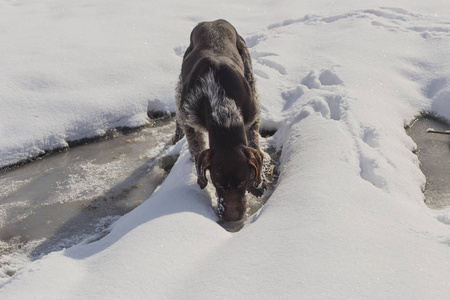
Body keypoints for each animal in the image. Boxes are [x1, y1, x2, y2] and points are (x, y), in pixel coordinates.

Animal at [172, 18, 264, 220]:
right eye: (218, 183)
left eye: (242, 182)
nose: (233, 218)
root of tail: (212, 22)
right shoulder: (189, 119)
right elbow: (195, 147)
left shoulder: (253, 117)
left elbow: (254, 142)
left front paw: (258, 185)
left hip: (249, 68)